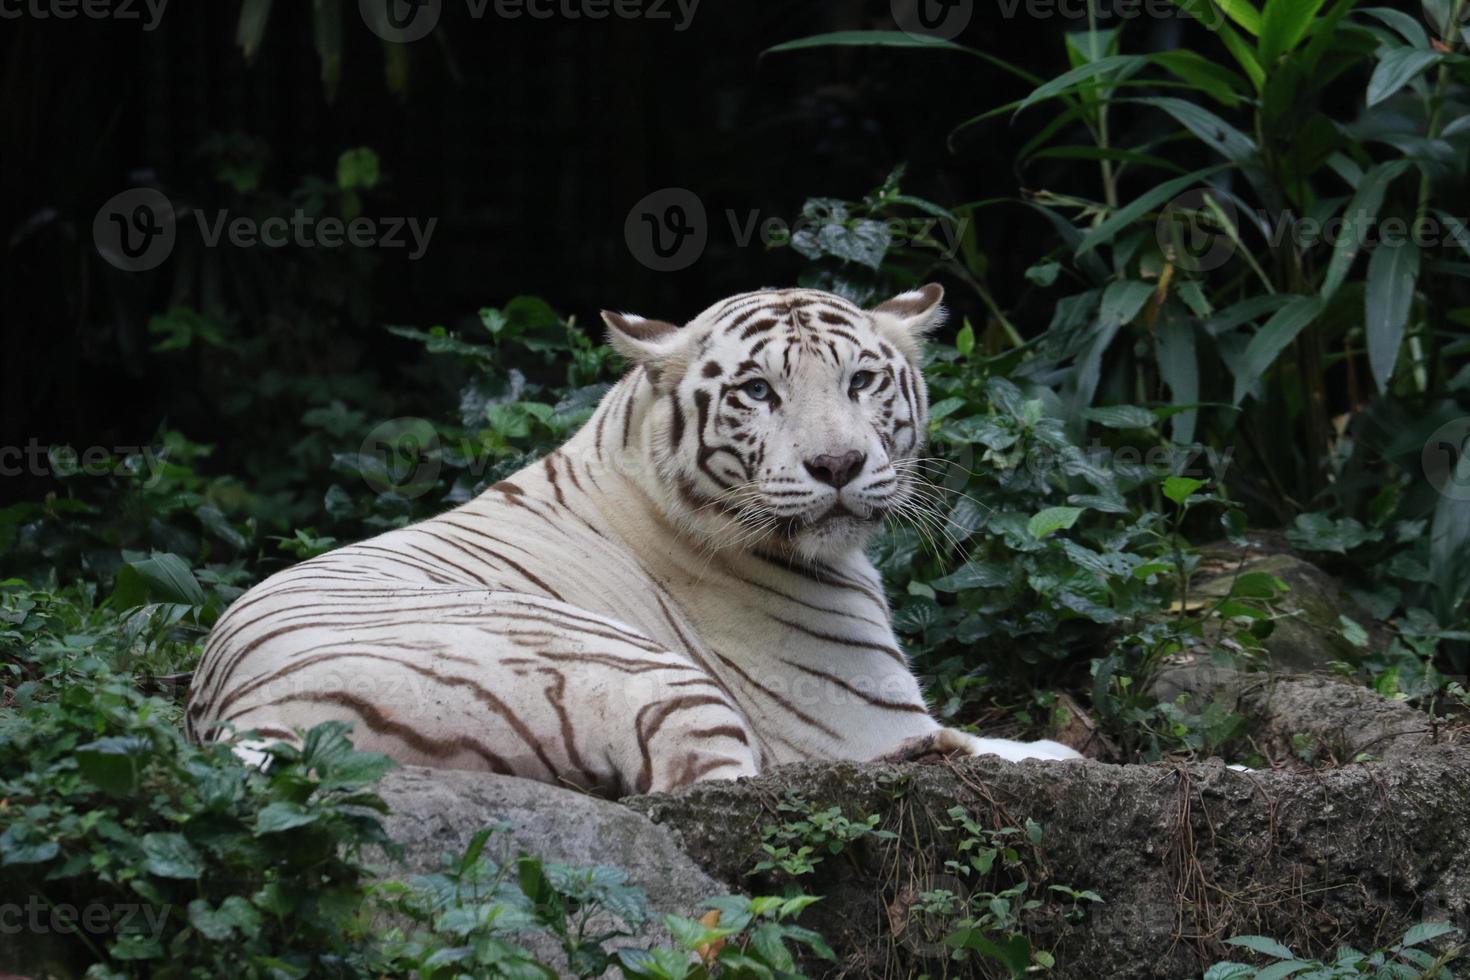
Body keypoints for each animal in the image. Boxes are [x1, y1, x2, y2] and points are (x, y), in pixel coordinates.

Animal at [186, 283, 1081, 799]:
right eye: (758, 392)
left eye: (860, 381)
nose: (837, 465)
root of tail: (243, 716)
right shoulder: (864, 717)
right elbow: (997, 743)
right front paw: (1055, 751)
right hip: (647, 674)